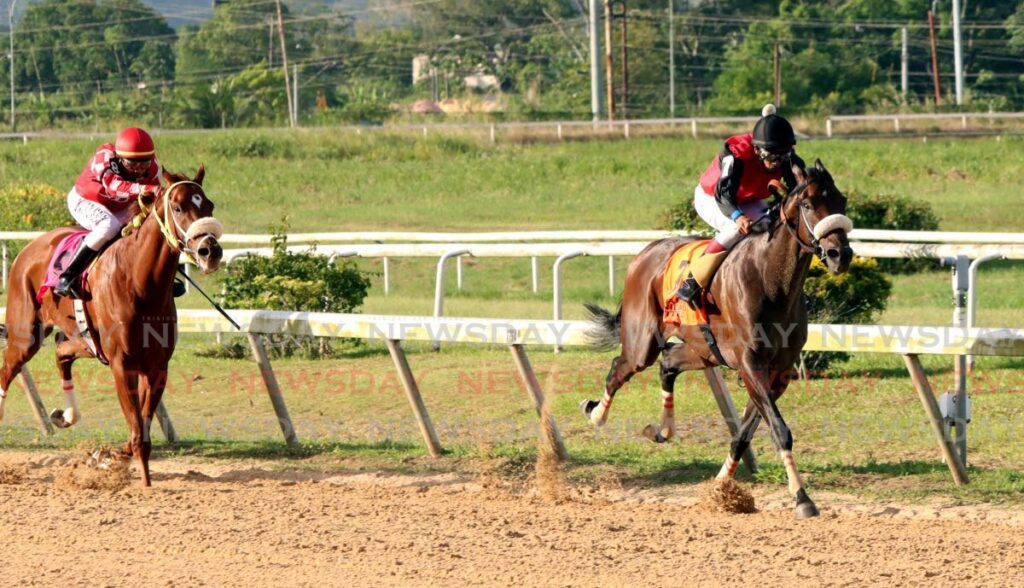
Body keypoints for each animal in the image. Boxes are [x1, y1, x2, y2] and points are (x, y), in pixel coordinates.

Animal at [0, 166, 224, 487]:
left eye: (209, 206)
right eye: (178, 206)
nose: (210, 250)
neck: (140, 283)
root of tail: (29, 248)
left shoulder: (156, 368)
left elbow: (139, 429)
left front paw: (106, 457)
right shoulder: (122, 365)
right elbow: (138, 434)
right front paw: (144, 484)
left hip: (84, 340)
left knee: (61, 351)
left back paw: (66, 414)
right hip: (25, 335)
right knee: (7, 371)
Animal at [585, 158, 856, 518]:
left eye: (841, 201)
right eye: (809, 204)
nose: (840, 254)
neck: (770, 281)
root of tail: (646, 252)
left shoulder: (778, 372)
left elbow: (744, 435)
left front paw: (719, 489)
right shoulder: (750, 364)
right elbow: (779, 430)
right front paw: (802, 499)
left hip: (704, 350)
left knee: (668, 363)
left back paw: (662, 430)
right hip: (643, 341)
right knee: (620, 367)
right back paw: (596, 414)